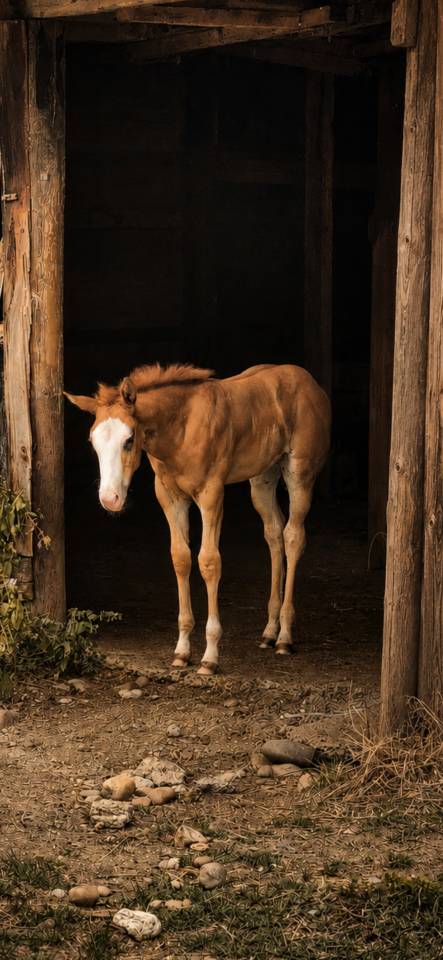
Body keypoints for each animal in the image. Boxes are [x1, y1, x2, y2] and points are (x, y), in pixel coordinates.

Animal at [65, 363, 330, 675]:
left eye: (129, 440)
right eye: (93, 442)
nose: (110, 499)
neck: (180, 428)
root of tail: (311, 383)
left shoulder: (211, 494)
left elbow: (208, 562)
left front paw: (210, 657)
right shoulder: (169, 496)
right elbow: (180, 558)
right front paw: (181, 651)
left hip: (300, 474)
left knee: (293, 536)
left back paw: (285, 638)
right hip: (262, 477)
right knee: (274, 533)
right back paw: (269, 632)